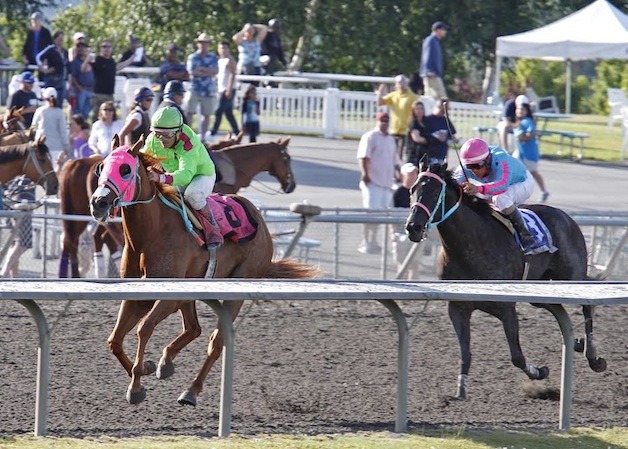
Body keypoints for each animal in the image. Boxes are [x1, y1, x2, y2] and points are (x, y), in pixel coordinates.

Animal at [88, 137, 318, 406]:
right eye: (101, 167)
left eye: (125, 169)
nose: (98, 203)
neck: (151, 235)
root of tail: (259, 219)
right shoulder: (138, 294)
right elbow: (114, 340)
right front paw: (145, 368)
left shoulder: (169, 295)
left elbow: (144, 328)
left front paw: (136, 385)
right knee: (193, 328)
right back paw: (166, 363)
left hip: (237, 288)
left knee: (216, 342)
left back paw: (190, 391)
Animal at [404, 162, 604, 400]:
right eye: (412, 189)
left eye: (435, 192)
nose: (413, 227)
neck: (471, 247)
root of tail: (567, 217)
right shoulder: (458, 307)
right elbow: (465, 353)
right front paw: (460, 391)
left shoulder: (506, 306)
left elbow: (516, 356)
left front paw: (540, 371)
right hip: (538, 287)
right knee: (555, 307)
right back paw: (575, 342)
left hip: (572, 276)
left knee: (586, 306)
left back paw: (593, 357)